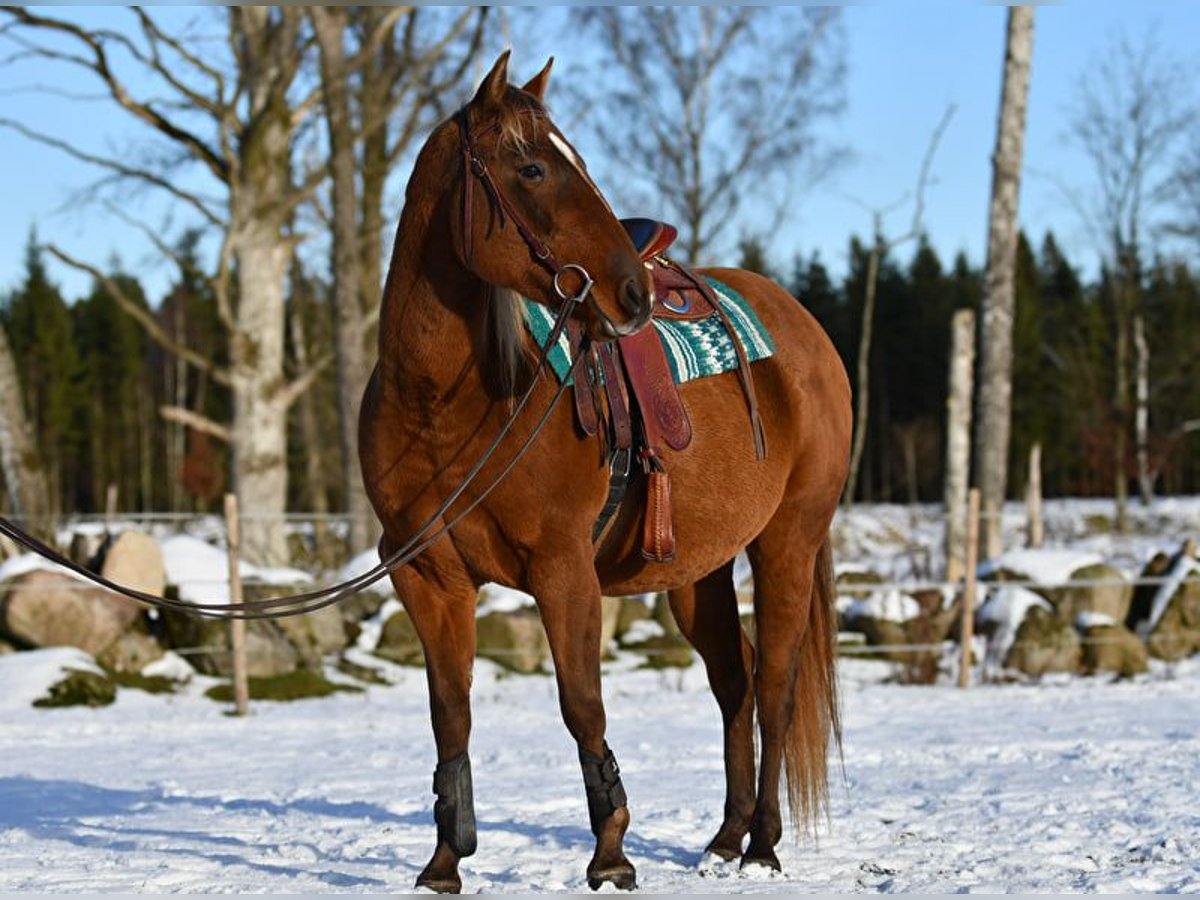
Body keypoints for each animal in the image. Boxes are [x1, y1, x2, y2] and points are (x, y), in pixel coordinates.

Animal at [359, 52, 851, 893]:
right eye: (531, 167)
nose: (632, 293)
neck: (443, 406)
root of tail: (807, 331)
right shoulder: (427, 577)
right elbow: (451, 714)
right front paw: (445, 860)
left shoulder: (564, 571)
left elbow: (582, 705)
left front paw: (612, 855)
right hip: (699, 570)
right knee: (736, 683)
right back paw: (726, 837)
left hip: (786, 542)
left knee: (778, 686)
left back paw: (763, 844)